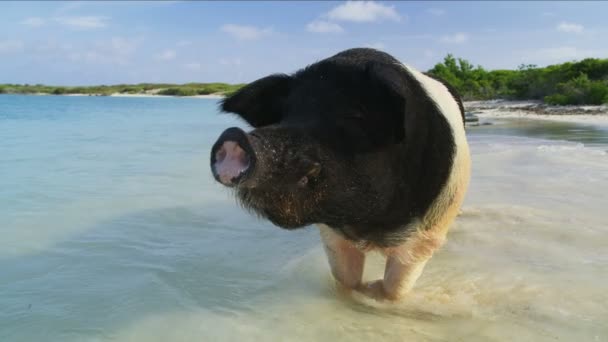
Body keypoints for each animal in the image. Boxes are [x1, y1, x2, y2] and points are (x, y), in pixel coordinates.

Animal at [211, 48, 472, 302]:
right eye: (284, 114)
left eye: (354, 116)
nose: (234, 135)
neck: (370, 225)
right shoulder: (331, 231)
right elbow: (345, 279)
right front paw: (358, 292)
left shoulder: (425, 237)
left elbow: (395, 289)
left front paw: (375, 292)